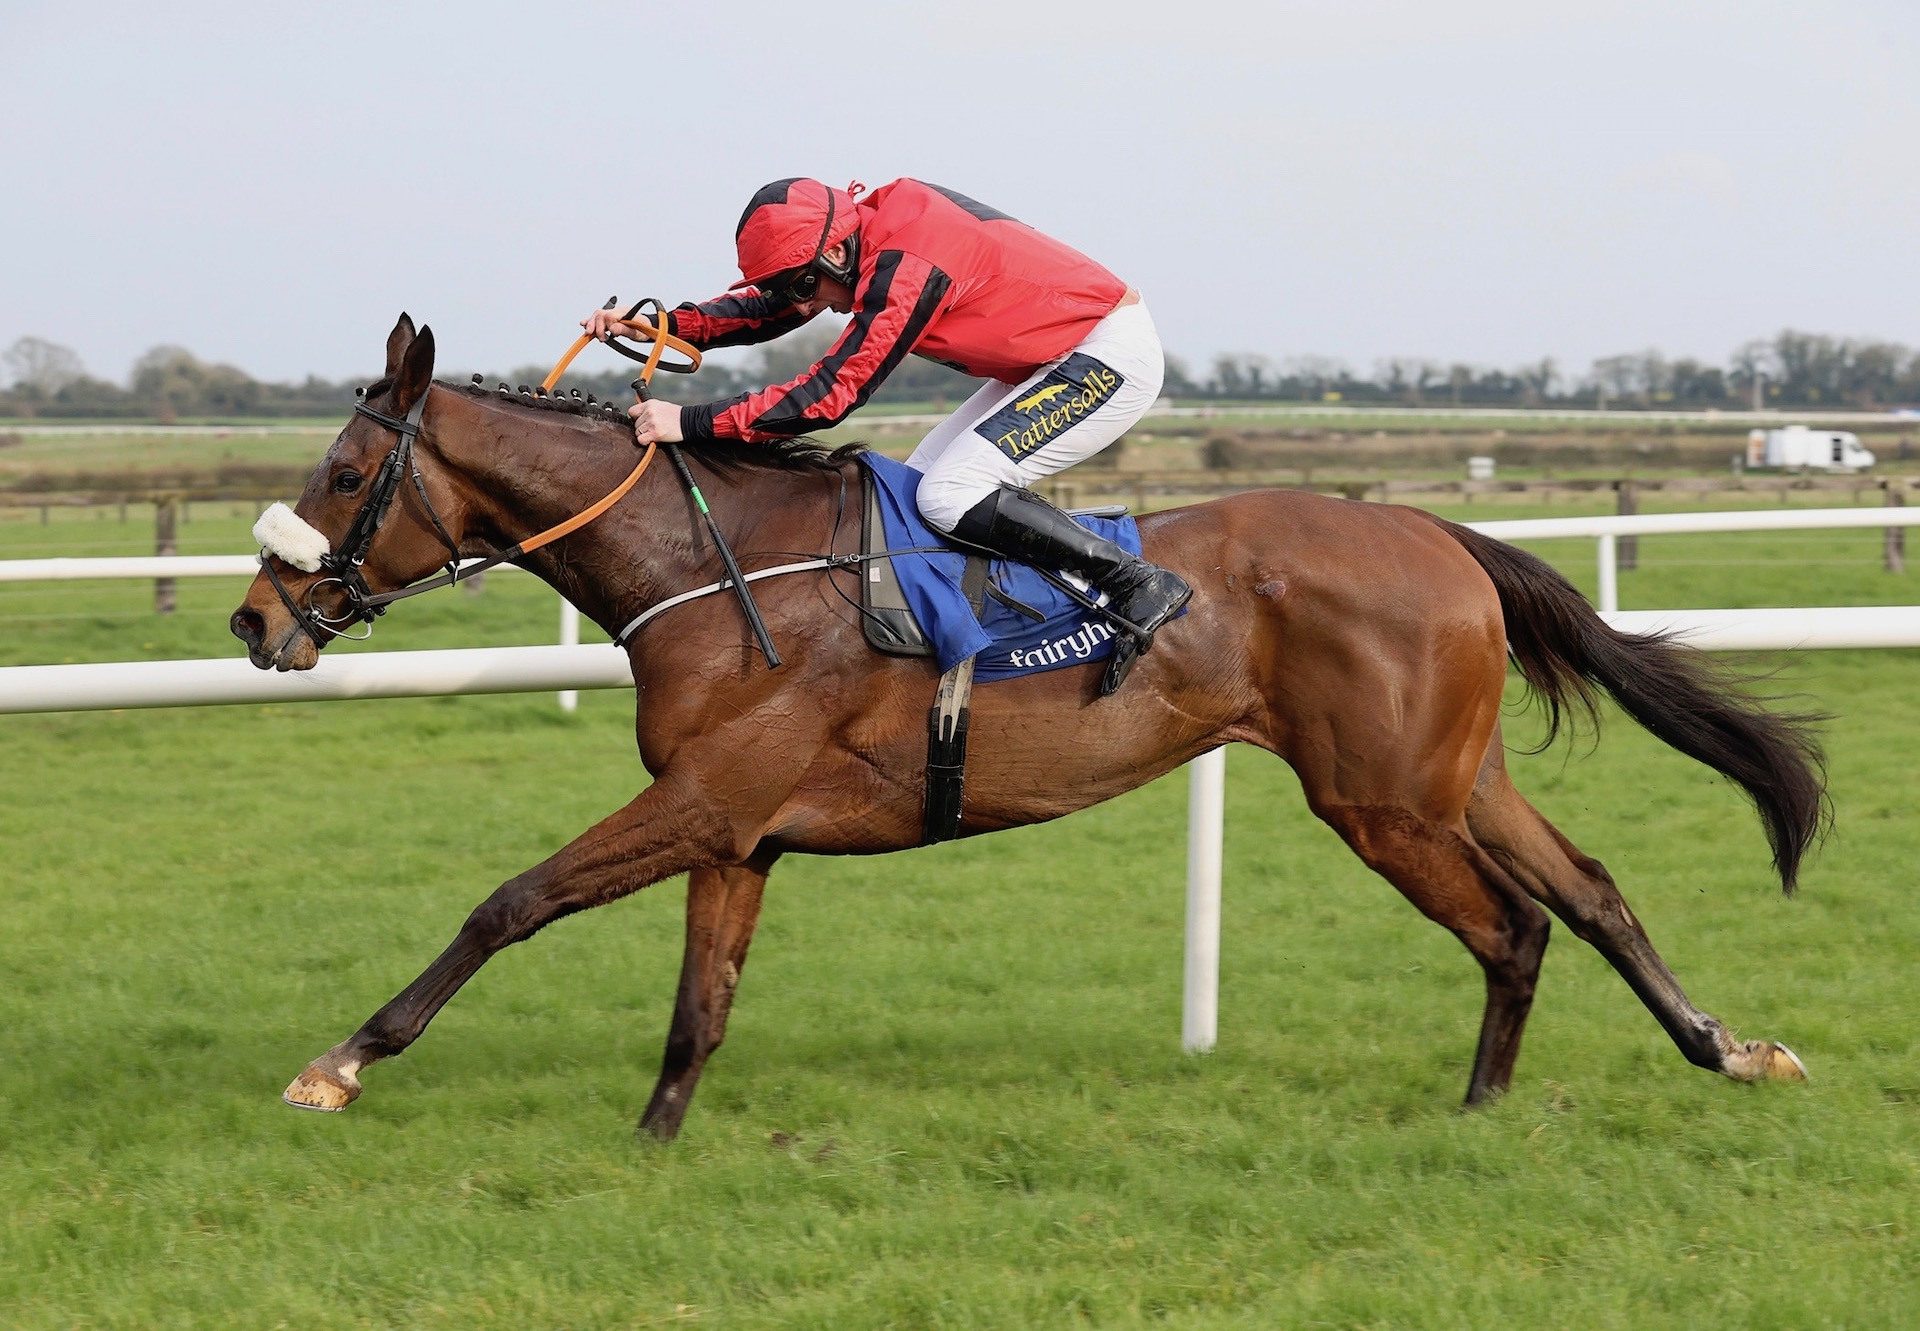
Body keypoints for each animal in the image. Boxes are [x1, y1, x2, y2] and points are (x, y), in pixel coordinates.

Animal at [232, 316, 1820, 1137]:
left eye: (347, 468)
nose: (254, 618)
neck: (720, 567)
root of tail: (1439, 532)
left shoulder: (705, 799)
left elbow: (511, 900)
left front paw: (341, 1060)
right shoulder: (736, 829)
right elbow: (700, 1003)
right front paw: (656, 1139)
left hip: (1381, 798)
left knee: (1514, 923)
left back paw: (1480, 1109)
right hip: (1449, 774)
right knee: (1590, 892)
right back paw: (1724, 1048)